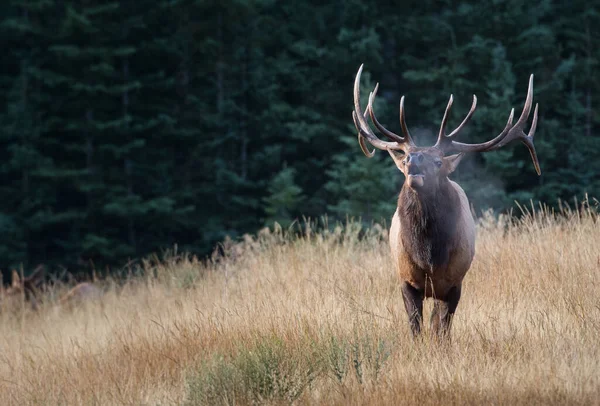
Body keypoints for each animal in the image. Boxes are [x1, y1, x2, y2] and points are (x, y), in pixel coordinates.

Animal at [352, 66, 544, 340]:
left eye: (438, 162)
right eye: (406, 158)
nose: (414, 164)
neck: (429, 255)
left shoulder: (454, 283)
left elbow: (442, 330)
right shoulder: (406, 279)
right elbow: (416, 328)